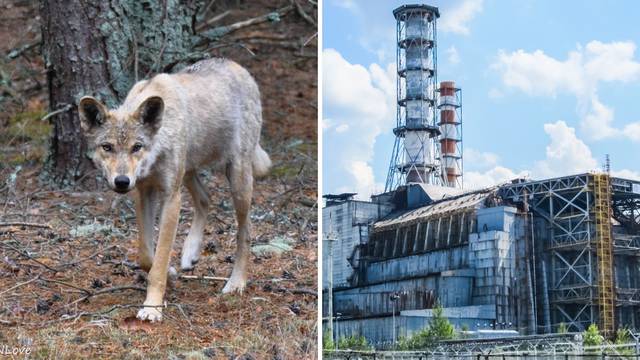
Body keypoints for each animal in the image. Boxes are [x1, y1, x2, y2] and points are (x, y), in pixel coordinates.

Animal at [77, 57, 270, 322]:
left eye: (137, 147)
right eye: (107, 147)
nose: (122, 181)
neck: (159, 143)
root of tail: (237, 66)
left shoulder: (170, 198)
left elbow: (158, 261)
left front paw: (152, 308)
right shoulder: (144, 193)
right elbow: (146, 255)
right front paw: (171, 273)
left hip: (236, 179)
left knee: (245, 231)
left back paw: (236, 282)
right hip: (188, 173)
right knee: (206, 199)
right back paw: (190, 253)